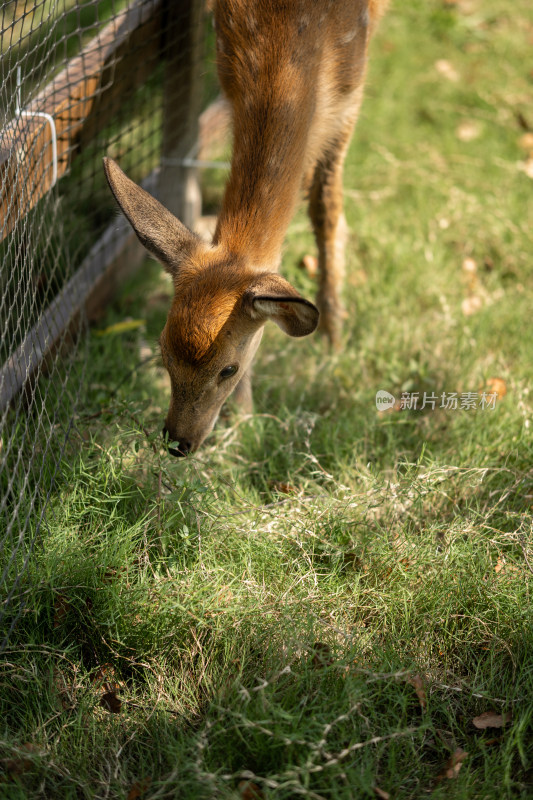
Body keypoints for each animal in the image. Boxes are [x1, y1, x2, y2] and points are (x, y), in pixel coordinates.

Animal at [104, 0, 386, 456]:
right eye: (163, 351)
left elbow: (326, 207)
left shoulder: (351, 90)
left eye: (228, 368)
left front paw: (334, 340)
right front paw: (245, 416)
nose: (178, 442)